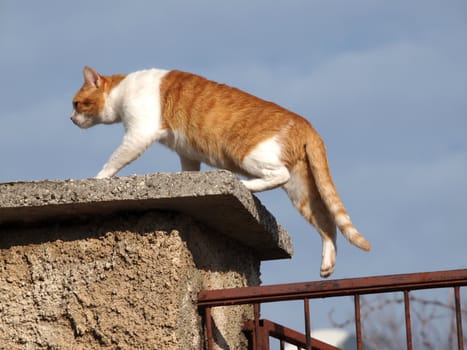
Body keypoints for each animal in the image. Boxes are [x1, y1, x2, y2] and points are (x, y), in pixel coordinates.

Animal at [70, 67, 370, 278]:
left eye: (77, 104)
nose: (71, 119)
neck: (124, 89)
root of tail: (306, 124)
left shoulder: (139, 133)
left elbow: (114, 160)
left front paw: (97, 179)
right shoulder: (188, 154)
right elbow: (188, 170)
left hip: (248, 154)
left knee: (278, 175)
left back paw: (245, 185)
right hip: (301, 191)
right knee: (327, 224)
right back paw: (327, 264)